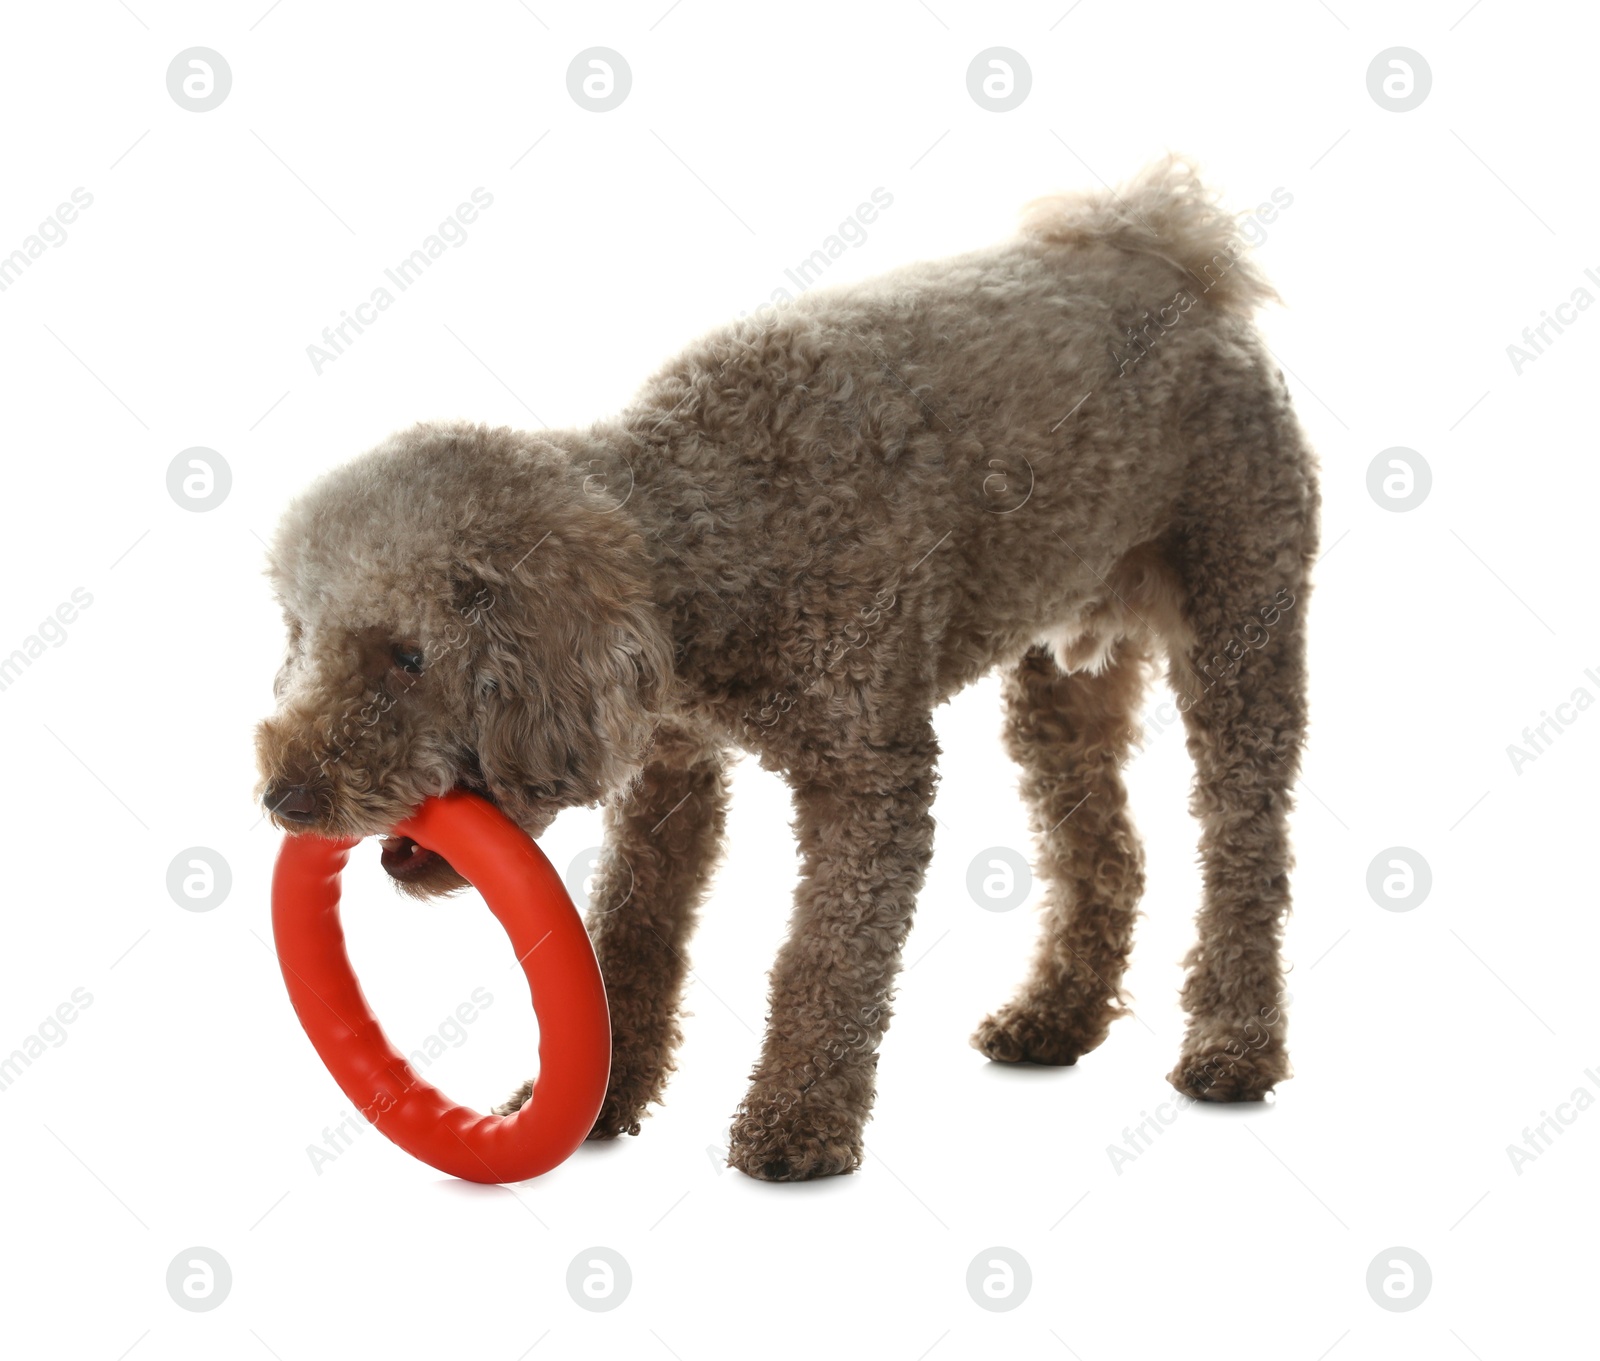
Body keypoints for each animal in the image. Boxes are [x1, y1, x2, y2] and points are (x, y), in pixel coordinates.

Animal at [256, 159, 1318, 1183]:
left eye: (407, 657)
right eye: (303, 638)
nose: (285, 794)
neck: (711, 517)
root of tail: (1174, 259)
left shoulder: (872, 779)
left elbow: (827, 959)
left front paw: (798, 1124)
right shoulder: (671, 767)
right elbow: (633, 930)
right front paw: (604, 1099)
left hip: (1243, 631)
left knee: (1246, 848)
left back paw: (1234, 1047)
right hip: (1058, 686)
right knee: (1106, 850)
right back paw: (1055, 1016)